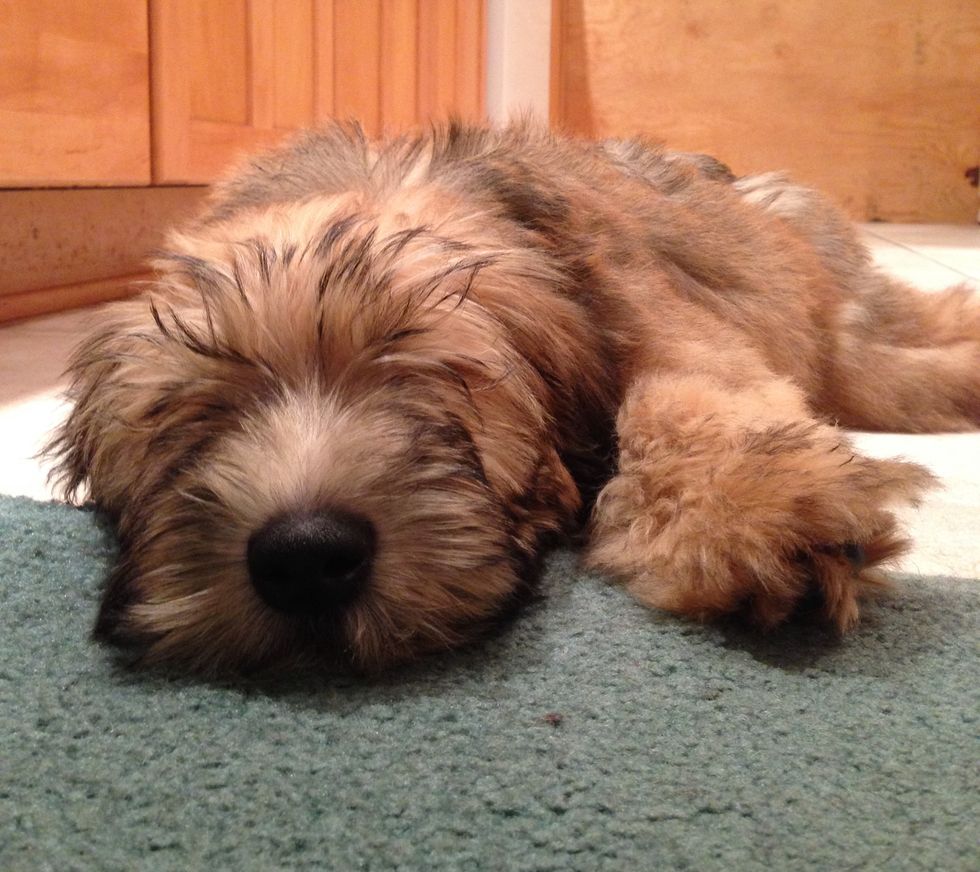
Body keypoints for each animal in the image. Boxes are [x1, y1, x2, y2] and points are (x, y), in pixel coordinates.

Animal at [48, 121, 979, 674]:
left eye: (420, 377)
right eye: (198, 417)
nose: (304, 556)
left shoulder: (664, 323)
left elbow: (683, 394)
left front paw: (758, 508)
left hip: (849, 332)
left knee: (914, 339)